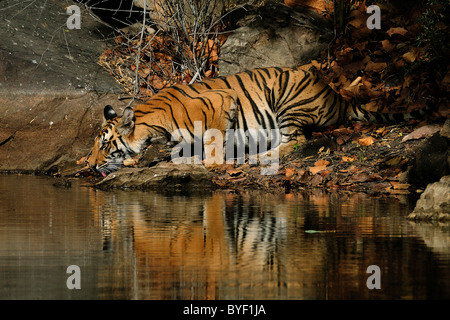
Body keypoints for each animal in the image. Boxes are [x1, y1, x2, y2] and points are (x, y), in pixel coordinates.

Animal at [85, 66, 428, 176]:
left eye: (105, 144)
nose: (88, 164)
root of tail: (336, 96)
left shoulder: (221, 101)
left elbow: (212, 144)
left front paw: (208, 162)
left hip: (286, 100)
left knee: (297, 141)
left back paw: (258, 157)